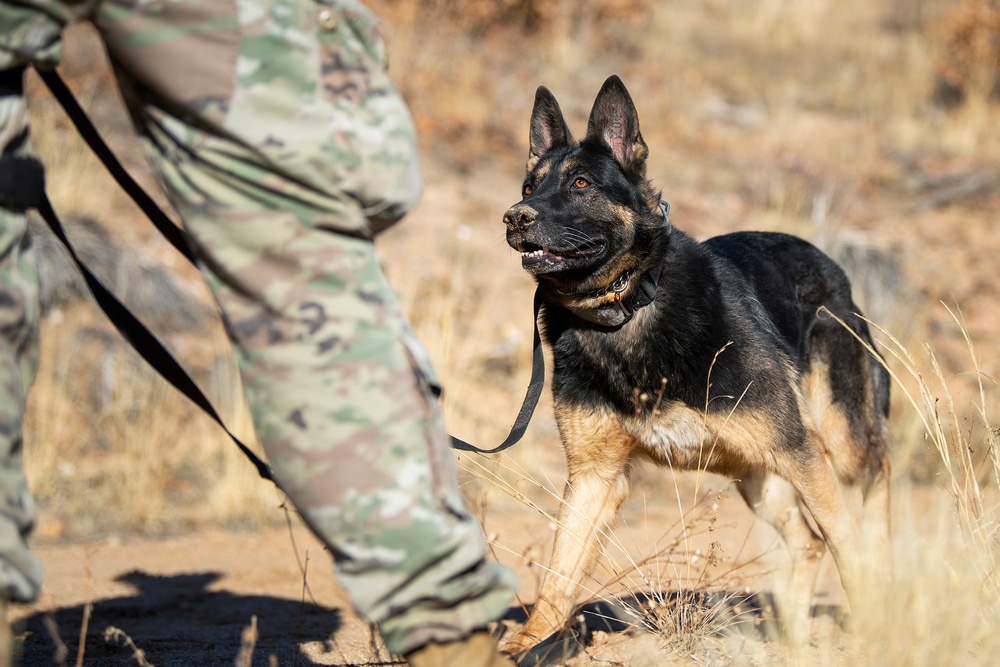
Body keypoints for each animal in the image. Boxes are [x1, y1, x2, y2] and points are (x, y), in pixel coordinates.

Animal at [500, 77, 892, 652]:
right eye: (529, 187)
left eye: (580, 183)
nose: (515, 217)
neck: (626, 310)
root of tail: (834, 269)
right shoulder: (595, 476)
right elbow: (560, 570)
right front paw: (530, 642)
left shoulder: (797, 451)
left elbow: (846, 541)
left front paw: (872, 619)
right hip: (756, 473)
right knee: (805, 541)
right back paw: (793, 639)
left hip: (834, 443)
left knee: (872, 480)